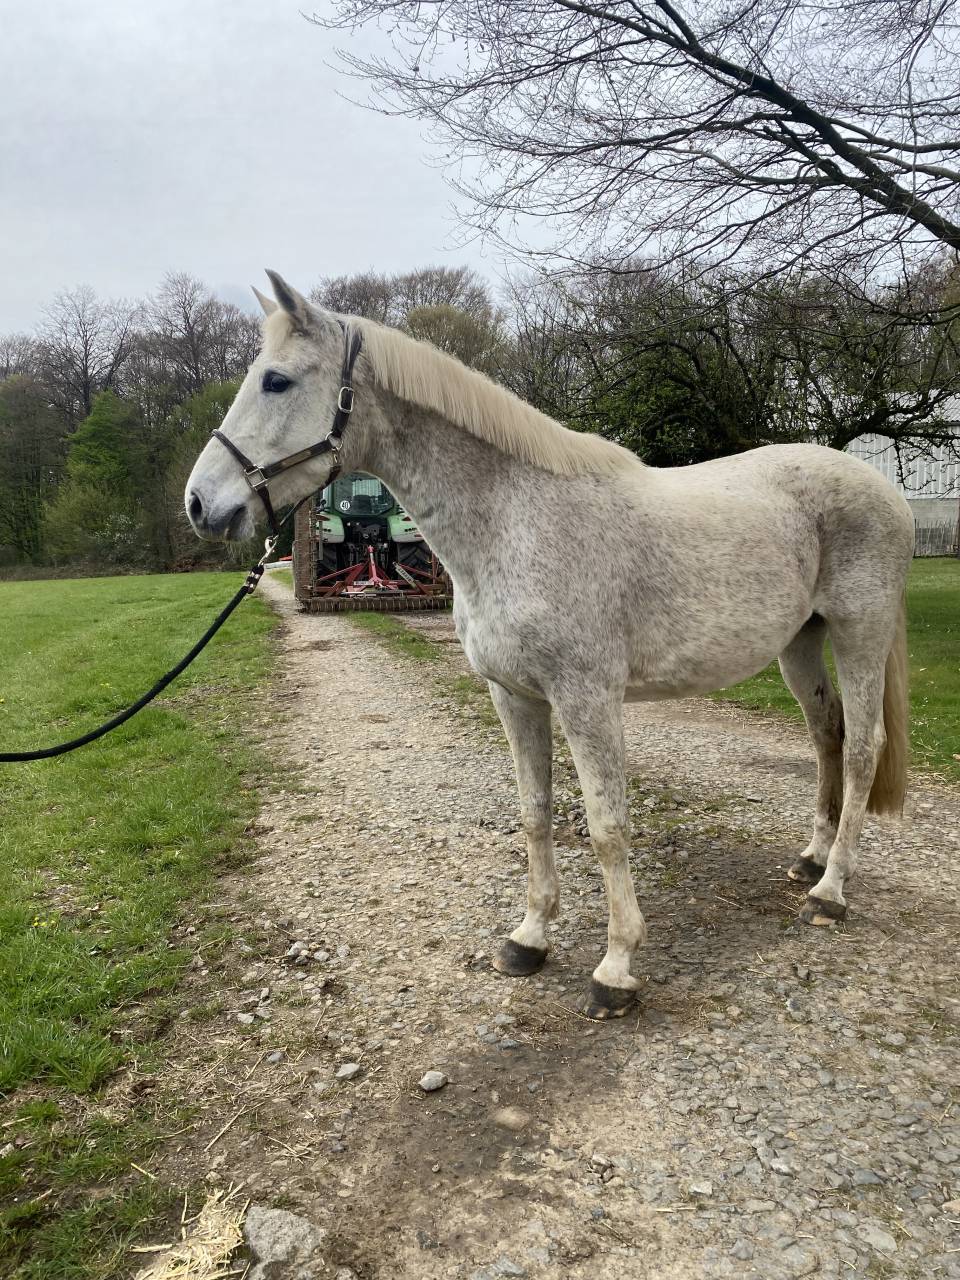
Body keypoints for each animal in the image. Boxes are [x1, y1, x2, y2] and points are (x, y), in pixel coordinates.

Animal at [185, 271, 913, 1020]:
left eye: (276, 381)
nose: (201, 504)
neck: (515, 519)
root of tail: (883, 488)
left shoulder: (587, 698)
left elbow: (606, 825)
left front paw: (616, 968)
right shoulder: (513, 696)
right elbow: (535, 814)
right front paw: (529, 938)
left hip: (858, 632)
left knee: (862, 748)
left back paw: (831, 892)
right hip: (799, 645)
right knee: (827, 736)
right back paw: (811, 860)